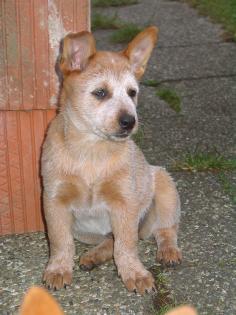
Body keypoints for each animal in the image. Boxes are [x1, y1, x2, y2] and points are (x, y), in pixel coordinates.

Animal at [41, 25, 182, 296]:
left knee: (164, 230)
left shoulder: (124, 202)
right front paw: (59, 269)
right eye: (100, 92)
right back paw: (93, 257)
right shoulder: (54, 200)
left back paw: (169, 251)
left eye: (132, 93)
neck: (91, 152)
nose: (130, 121)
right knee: (109, 240)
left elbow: (126, 245)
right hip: (86, 232)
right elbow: (60, 241)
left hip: (165, 186)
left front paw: (135, 273)